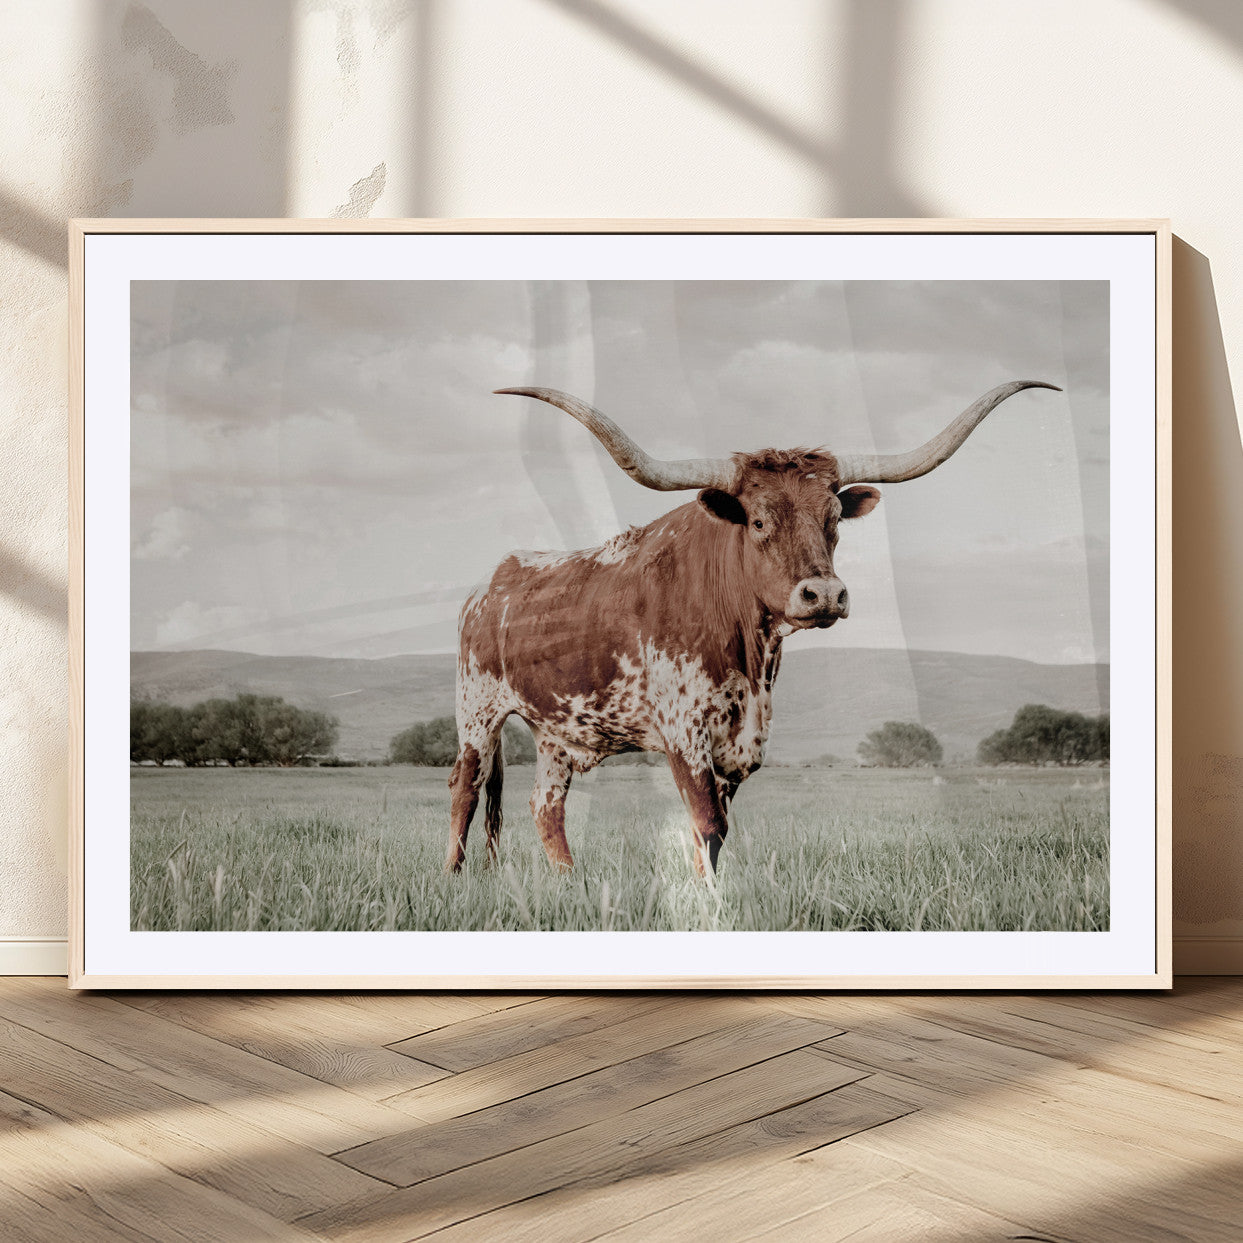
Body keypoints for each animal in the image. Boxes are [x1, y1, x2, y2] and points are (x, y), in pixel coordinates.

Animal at [446, 380, 1060, 875]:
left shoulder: (741, 745)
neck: (749, 654)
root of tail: (487, 586)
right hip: (477, 713)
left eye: (834, 520)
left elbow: (718, 834)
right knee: (464, 792)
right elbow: (705, 825)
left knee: (545, 808)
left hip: (556, 733)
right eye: (760, 521)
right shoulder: (684, 733)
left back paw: (569, 881)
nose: (824, 594)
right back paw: (454, 880)